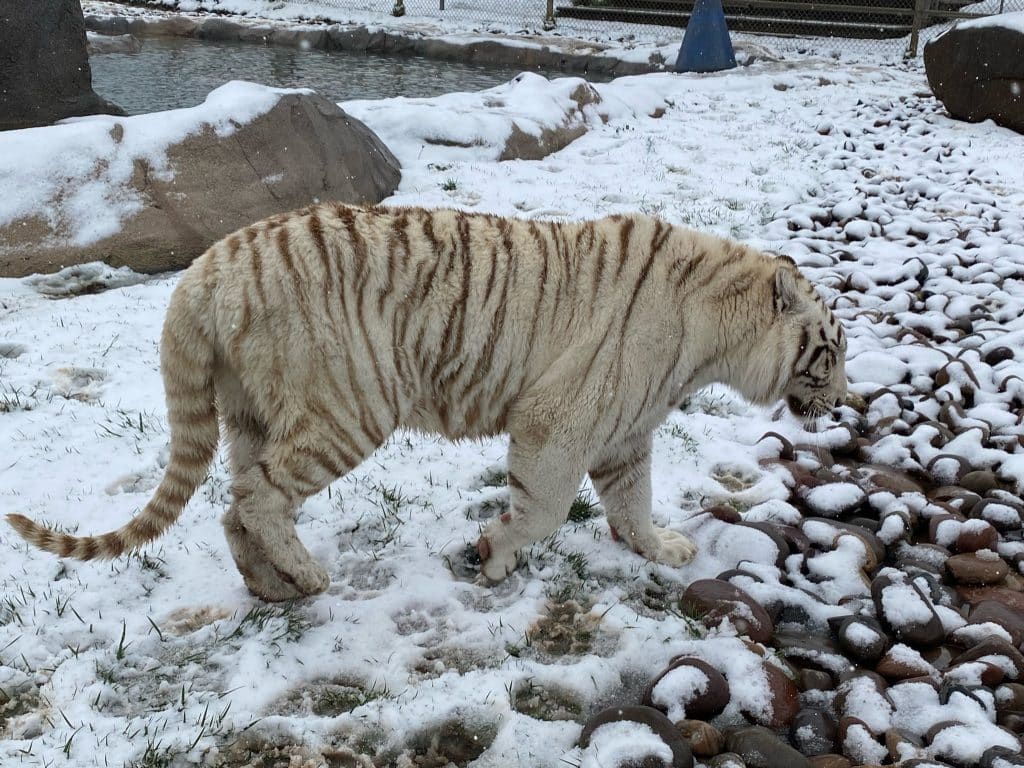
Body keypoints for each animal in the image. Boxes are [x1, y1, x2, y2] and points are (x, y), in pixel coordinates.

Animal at [8, 204, 848, 602]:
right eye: (831, 351)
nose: (844, 402)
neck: (715, 332)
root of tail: (203, 271)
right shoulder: (559, 421)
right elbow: (544, 509)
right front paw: (493, 554)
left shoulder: (624, 432)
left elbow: (633, 501)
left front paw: (662, 549)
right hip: (347, 407)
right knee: (257, 495)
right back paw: (310, 578)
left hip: (251, 410)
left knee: (232, 504)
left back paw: (272, 586)